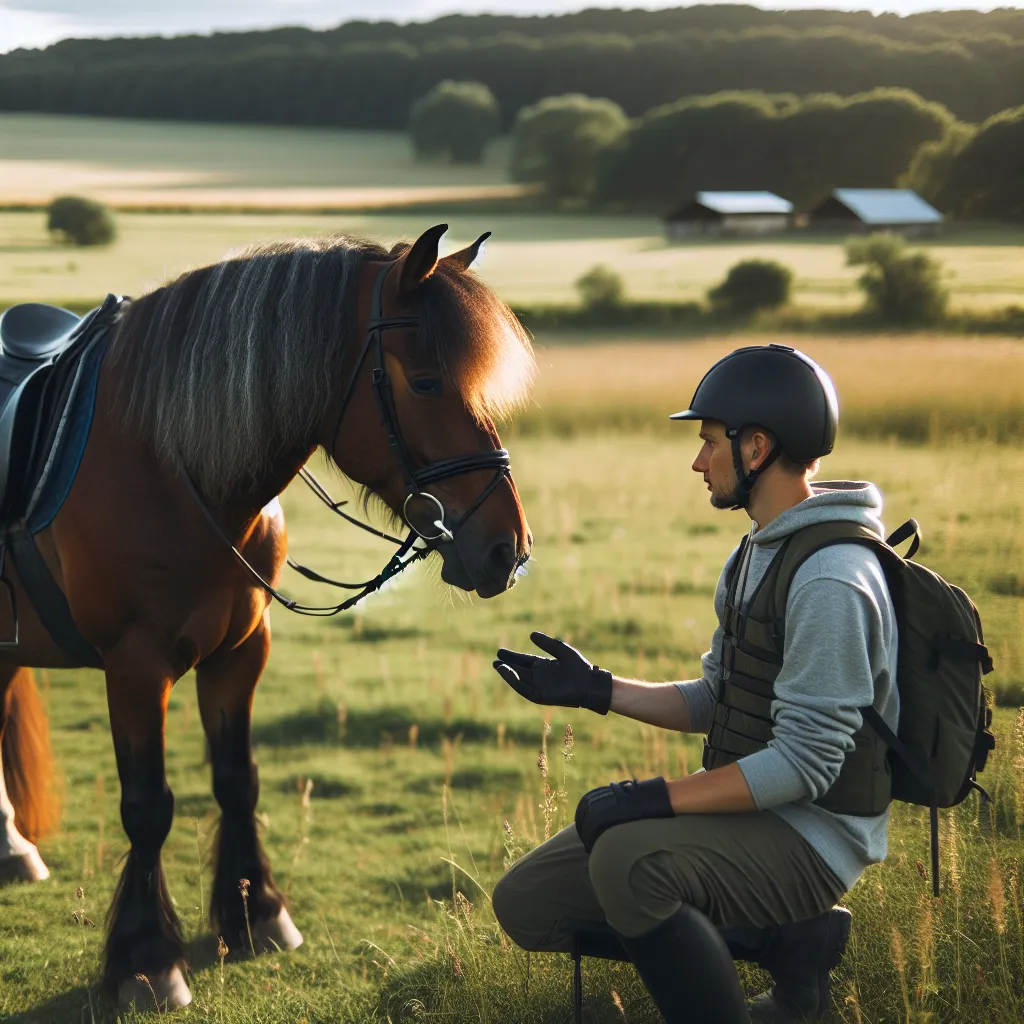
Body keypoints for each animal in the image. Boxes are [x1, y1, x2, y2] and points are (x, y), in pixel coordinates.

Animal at [0, 220, 532, 1011]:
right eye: (427, 382)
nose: (507, 550)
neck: (169, 459)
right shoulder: (134, 667)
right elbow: (147, 805)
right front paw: (145, 960)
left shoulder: (240, 652)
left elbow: (236, 780)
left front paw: (256, 915)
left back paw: (11, 848)